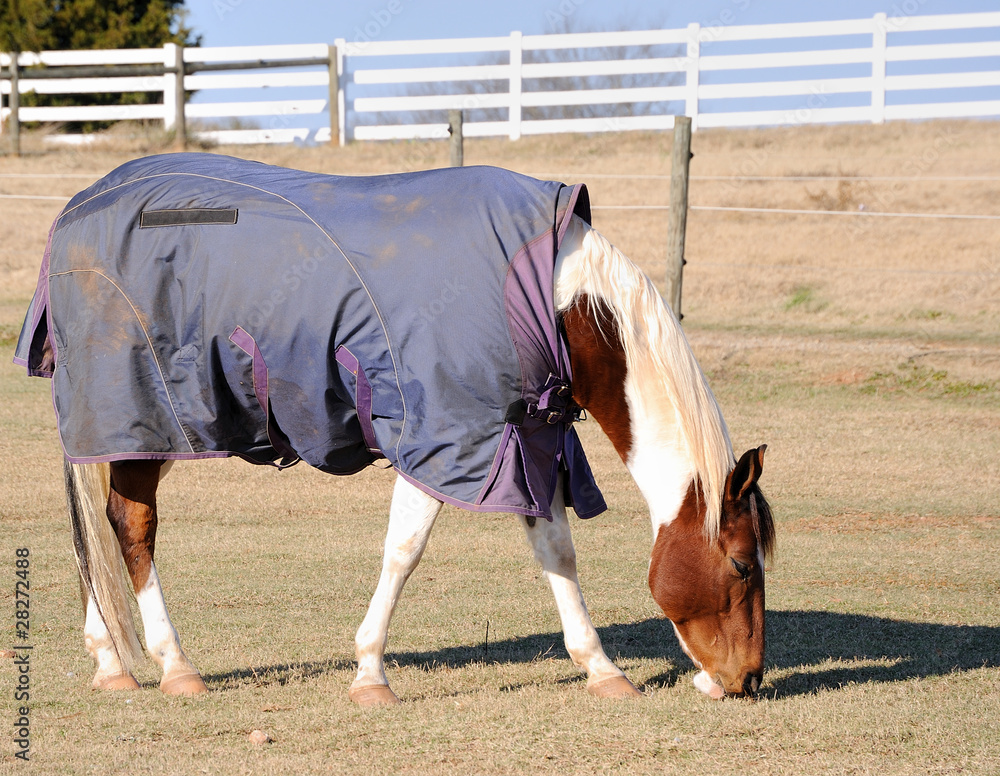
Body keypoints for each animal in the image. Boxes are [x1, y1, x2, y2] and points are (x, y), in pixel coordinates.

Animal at [13, 155, 772, 708]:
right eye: (741, 565)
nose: (747, 680)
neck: (549, 296)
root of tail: (75, 210)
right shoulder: (442, 440)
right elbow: (404, 551)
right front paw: (370, 674)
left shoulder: (523, 440)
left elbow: (556, 552)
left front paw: (601, 668)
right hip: (143, 413)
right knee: (131, 527)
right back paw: (173, 665)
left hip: (147, 432)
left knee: (98, 526)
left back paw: (110, 660)